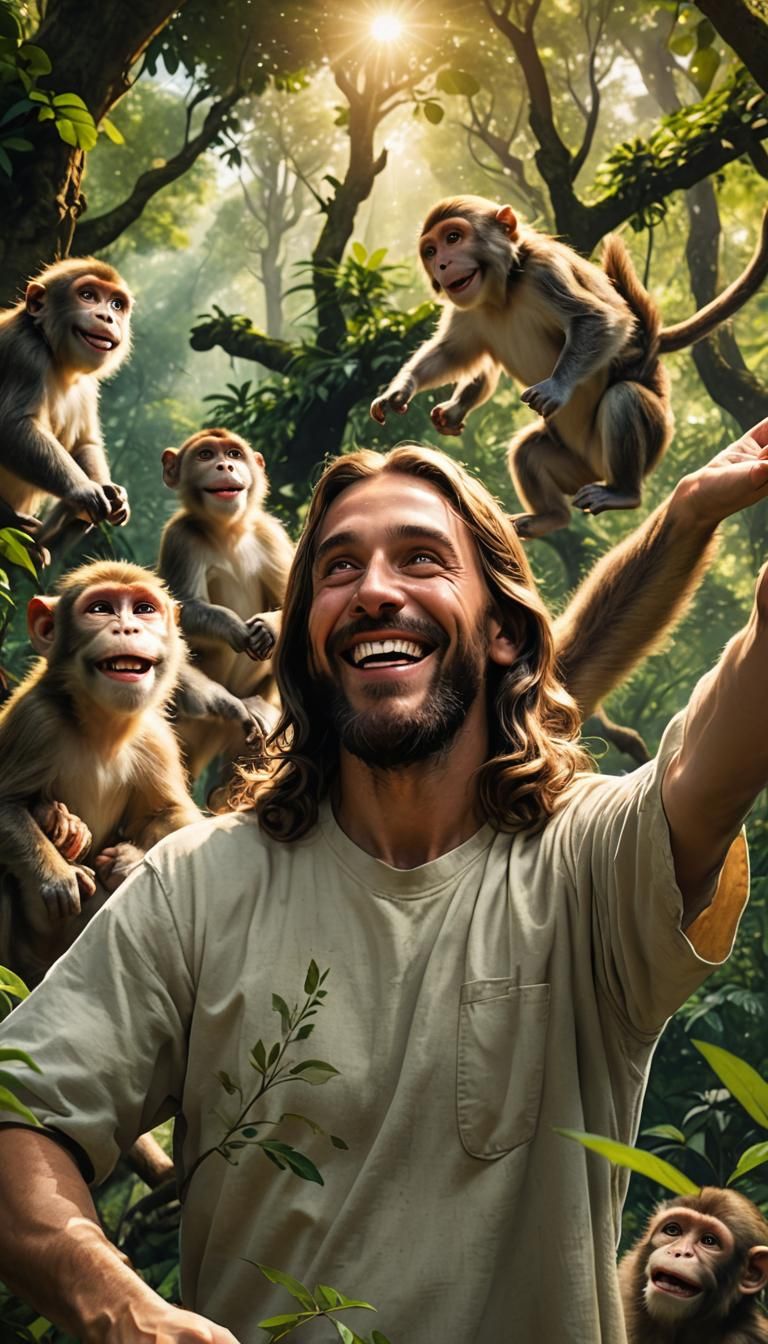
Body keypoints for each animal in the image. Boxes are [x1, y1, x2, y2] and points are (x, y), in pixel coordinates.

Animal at [0, 257, 133, 557]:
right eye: (88, 295)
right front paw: (82, 490)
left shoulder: (88, 385)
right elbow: (12, 426)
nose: (107, 317)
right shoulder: (24, 351)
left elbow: (85, 442)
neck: (57, 359)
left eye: (116, 304)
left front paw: (111, 491)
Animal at [0, 559, 202, 987]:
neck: (101, 728)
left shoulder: (155, 739)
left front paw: (127, 858)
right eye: (101, 609)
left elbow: (174, 817)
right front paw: (55, 873)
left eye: (144, 609)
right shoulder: (35, 720)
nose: (128, 629)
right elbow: (5, 804)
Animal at [157, 427, 295, 784]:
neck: (229, 532)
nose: (225, 467)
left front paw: (267, 628)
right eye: (206, 455)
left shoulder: (270, 534)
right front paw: (235, 627)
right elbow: (182, 611)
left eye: (233, 454)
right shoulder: (180, 538)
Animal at [370, 196, 768, 537]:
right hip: (573, 463)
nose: (441, 264)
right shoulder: (469, 310)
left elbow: (598, 319)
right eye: (431, 250)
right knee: (529, 451)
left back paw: (624, 493)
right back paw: (550, 518)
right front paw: (403, 392)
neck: (503, 292)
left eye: (453, 237)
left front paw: (556, 387)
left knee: (624, 396)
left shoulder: (545, 273)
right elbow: (453, 353)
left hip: (644, 444)